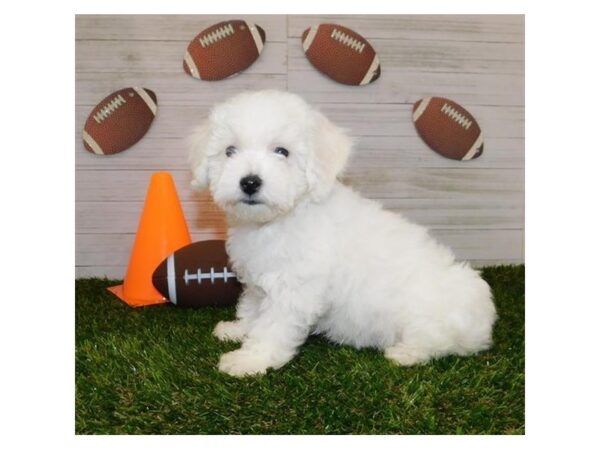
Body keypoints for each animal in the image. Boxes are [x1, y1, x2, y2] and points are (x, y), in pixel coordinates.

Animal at [189, 89, 496, 376]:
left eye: (282, 151)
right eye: (230, 151)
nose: (250, 182)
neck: (277, 221)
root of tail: (484, 324)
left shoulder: (294, 288)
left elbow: (272, 326)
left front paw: (251, 360)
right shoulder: (259, 281)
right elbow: (253, 308)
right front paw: (239, 329)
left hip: (432, 314)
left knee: (437, 342)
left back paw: (404, 353)